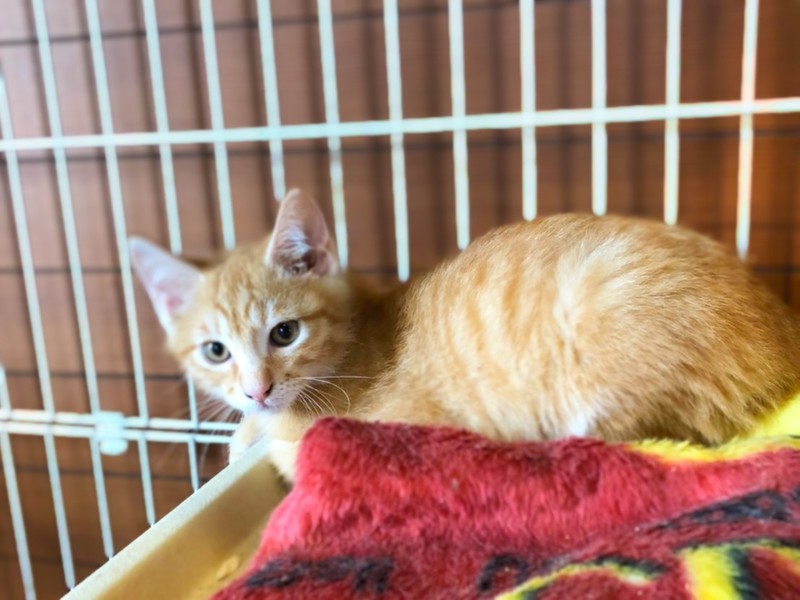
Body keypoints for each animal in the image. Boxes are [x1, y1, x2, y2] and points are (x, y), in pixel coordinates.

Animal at [130, 190, 800, 482]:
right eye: (216, 351)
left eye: (285, 332)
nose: (257, 389)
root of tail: (782, 331)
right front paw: (244, 432)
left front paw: (261, 438)